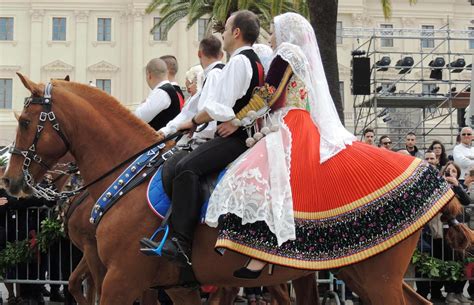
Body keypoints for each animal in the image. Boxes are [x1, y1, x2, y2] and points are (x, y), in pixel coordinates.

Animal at [2, 73, 470, 304]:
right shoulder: (171, 285)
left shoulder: (120, 277)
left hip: (375, 278)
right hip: (357, 271)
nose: (10, 181)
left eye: (25, 122)